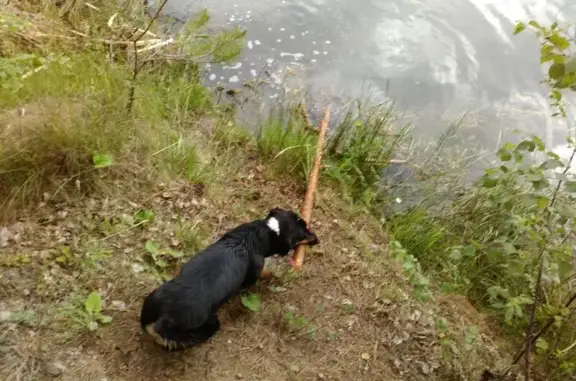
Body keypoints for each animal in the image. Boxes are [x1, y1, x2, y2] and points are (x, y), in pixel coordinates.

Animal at [140, 208, 320, 350]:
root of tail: (163, 316)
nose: (317, 239)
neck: (258, 234)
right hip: (205, 322)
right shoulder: (254, 272)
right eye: (303, 231)